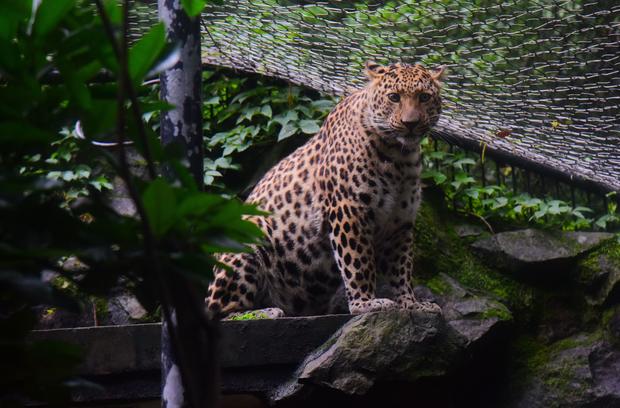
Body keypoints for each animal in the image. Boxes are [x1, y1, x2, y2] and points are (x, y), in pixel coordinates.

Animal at [207, 61, 446, 318]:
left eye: (424, 97)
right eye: (394, 97)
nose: (411, 123)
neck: (398, 157)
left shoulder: (399, 223)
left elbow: (401, 268)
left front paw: (412, 304)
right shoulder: (348, 209)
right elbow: (358, 261)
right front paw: (365, 303)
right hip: (249, 229)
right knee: (219, 310)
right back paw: (265, 311)